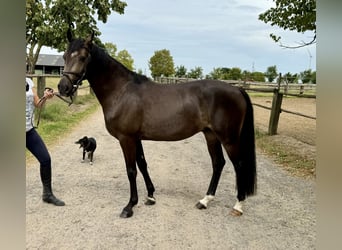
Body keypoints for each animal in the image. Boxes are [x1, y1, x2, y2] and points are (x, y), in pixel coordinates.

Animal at [58, 30, 256, 218]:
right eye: (65, 56)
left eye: (83, 57)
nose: (63, 87)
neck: (121, 91)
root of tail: (237, 89)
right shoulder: (136, 138)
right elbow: (142, 164)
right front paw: (150, 196)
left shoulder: (126, 138)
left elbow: (131, 170)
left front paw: (129, 206)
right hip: (211, 135)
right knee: (218, 163)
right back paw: (205, 200)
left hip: (229, 139)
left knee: (239, 165)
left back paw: (238, 206)